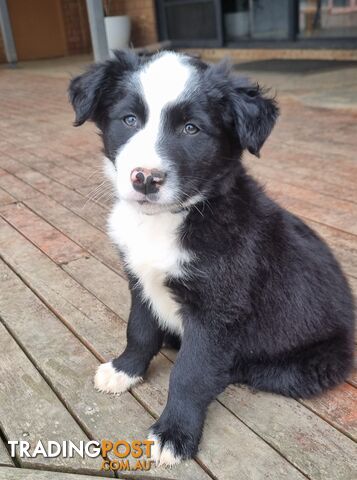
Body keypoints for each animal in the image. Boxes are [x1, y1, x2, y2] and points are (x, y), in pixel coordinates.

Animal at [68, 51, 354, 464]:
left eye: (192, 129)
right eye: (129, 120)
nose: (145, 178)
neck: (172, 218)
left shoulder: (217, 310)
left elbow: (190, 373)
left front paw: (174, 434)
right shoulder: (140, 280)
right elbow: (139, 330)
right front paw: (125, 370)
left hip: (304, 365)